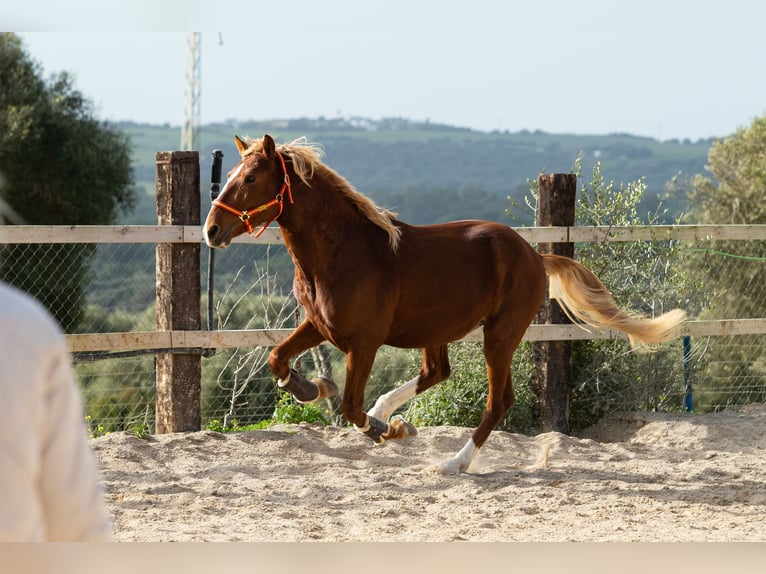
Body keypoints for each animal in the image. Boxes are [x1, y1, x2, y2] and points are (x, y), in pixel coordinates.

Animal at [202, 136, 684, 476]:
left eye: (250, 179)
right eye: (231, 175)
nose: (211, 230)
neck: (343, 252)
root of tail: (535, 255)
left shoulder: (364, 342)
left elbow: (351, 407)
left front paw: (385, 431)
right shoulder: (319, 324)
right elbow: (277, 357)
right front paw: (311, 388)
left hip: (499, 336)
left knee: (497, 401)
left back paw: (454, 461)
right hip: (439, 331)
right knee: (438, 372)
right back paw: (393, 414)